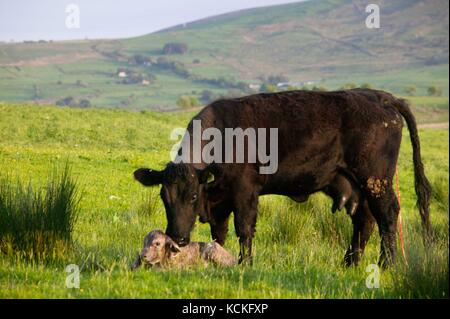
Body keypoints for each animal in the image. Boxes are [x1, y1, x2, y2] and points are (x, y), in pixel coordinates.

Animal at [134, 89, 432, 268]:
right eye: (164, 196)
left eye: (193, 195)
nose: (178, 237)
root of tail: (379, 96)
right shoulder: (221, 200)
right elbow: (219, 234)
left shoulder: (245, 191)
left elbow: (244, 229)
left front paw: (245, 264)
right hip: (354, 184)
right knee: (364, 220)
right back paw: (349, 264)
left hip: (376, 179)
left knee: (388, 214)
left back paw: (386, 264)